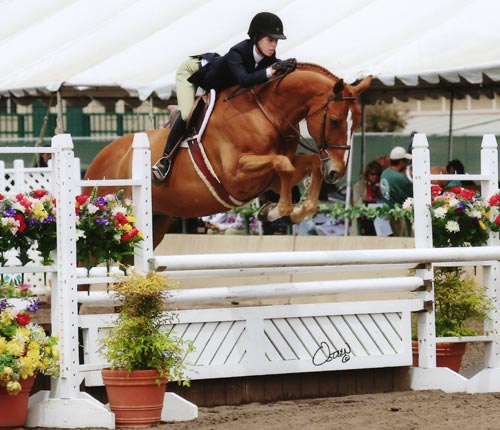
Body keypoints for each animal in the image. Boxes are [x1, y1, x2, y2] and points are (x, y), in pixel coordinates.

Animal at [84, 62, 372, 247]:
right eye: (334, 121)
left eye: (357, 121)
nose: (336, 171)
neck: (267, 113)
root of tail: (96, 162)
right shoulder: (236, 176)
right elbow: (284, 165)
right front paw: (276, 211)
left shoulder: (269, 179)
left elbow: (301, 165)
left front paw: (285, 211)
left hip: (156, 222)